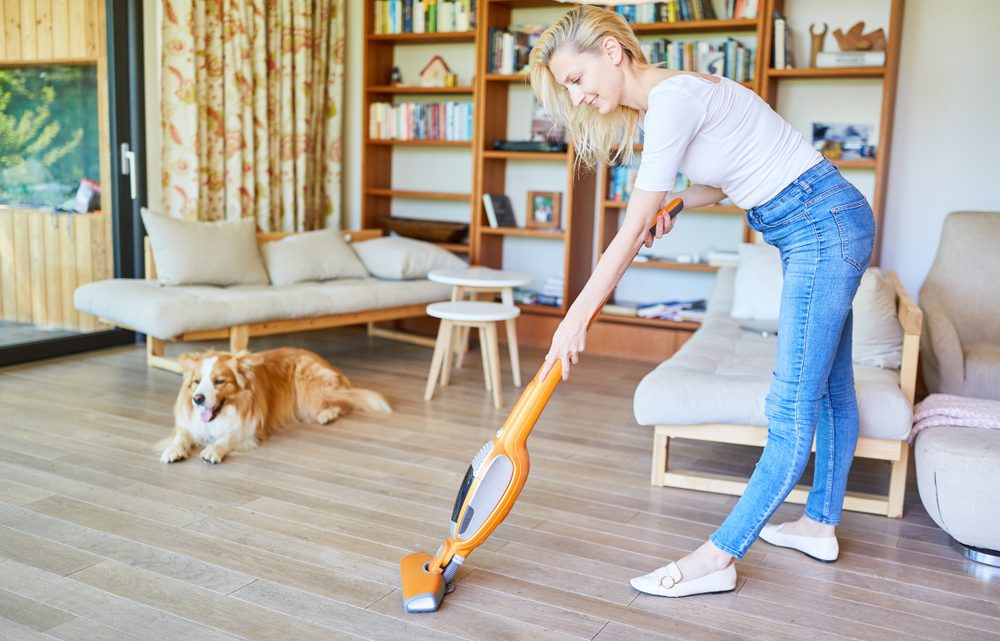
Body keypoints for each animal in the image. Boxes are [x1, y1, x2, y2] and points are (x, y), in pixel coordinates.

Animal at [160, 348, 390, 462]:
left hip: (307, 384)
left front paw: (213, 450)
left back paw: (327, 415)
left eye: (219, 381)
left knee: (348, 401)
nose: (197, 399)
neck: (225, 413)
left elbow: (229, 437)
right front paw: (173, 450)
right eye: (196, 381)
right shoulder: (191, 424)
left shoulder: (250, 427)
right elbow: (181, 436)